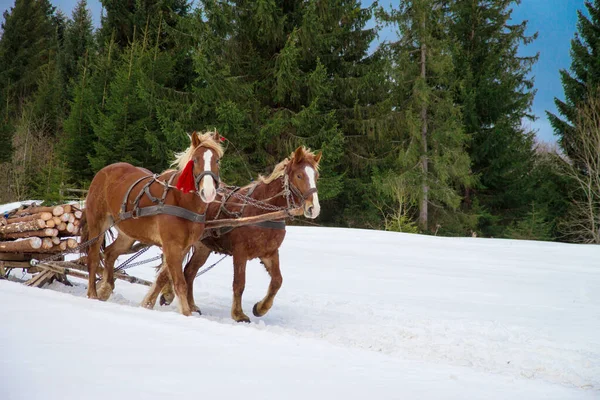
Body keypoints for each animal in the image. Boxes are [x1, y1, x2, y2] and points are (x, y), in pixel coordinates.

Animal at [81, 131, 224, 316]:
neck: (181, 200)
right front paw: (186, 313)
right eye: (196, 160)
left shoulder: (183, 247)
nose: (208, 192)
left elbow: (164, 277)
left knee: (110, 253)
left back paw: (106, 287)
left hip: (127, 234)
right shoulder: (171, 245)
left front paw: (148, 304)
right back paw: (92, 293)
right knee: (93, 257)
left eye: (217, 160)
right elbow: (180, 282)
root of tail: (104, 171)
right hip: (97, 224)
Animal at [142, 145, 322, 324]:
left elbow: (277, 281)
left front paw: (260, 308)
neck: (261, 211)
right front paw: (238, 314)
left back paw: (190, 304)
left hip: (203, 247)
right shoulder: (240, 252)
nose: (313, 208)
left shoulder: (269, 252)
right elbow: (239, 283)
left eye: (316, 176)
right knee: (172, 267)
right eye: (299, 175)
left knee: (189, 272)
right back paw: (168, 294)